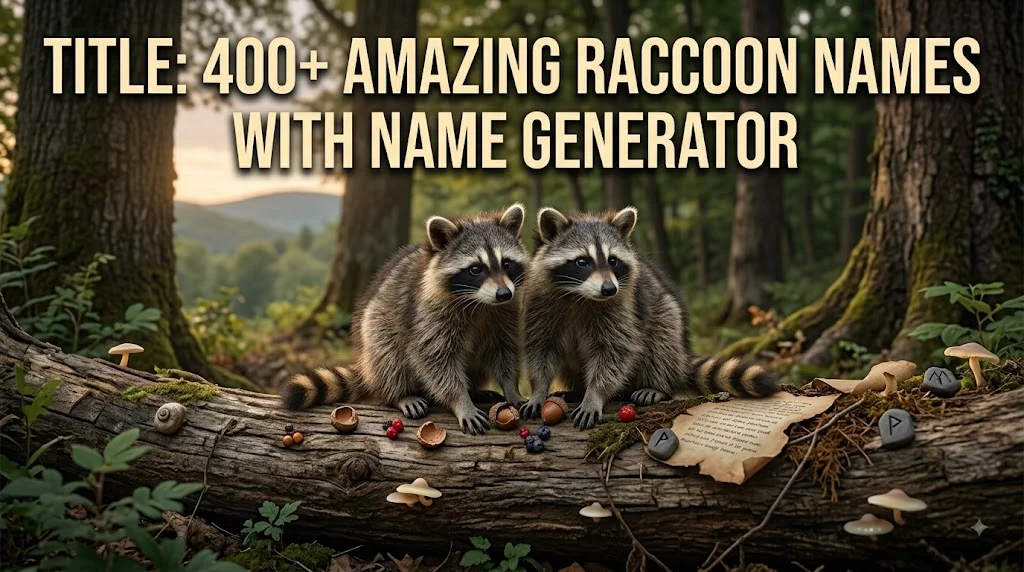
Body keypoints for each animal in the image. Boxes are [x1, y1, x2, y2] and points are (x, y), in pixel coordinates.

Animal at [280, 204, 529, 435]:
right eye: (475, 269)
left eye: (506, 263)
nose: (504, 294)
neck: (480, 302)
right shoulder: (427, 315)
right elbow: (435, 359)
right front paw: (460, 400)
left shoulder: (504, 314)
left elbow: (504, 350)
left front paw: (511, 387)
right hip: (376, 329)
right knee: (389, 357)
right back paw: (399, 394)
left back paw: (475, 390)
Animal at [519, 206, 777, 429]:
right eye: (582, 261)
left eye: (613, 260)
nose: (609, 289)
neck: (580, 297)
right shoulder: (540, 307)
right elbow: (541, 348)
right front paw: (539, 390)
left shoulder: (621, 310)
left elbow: (614, 352)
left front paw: (595, 394)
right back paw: (576, 389)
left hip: (667, 315)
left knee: (662, 338)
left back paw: (656, 385)